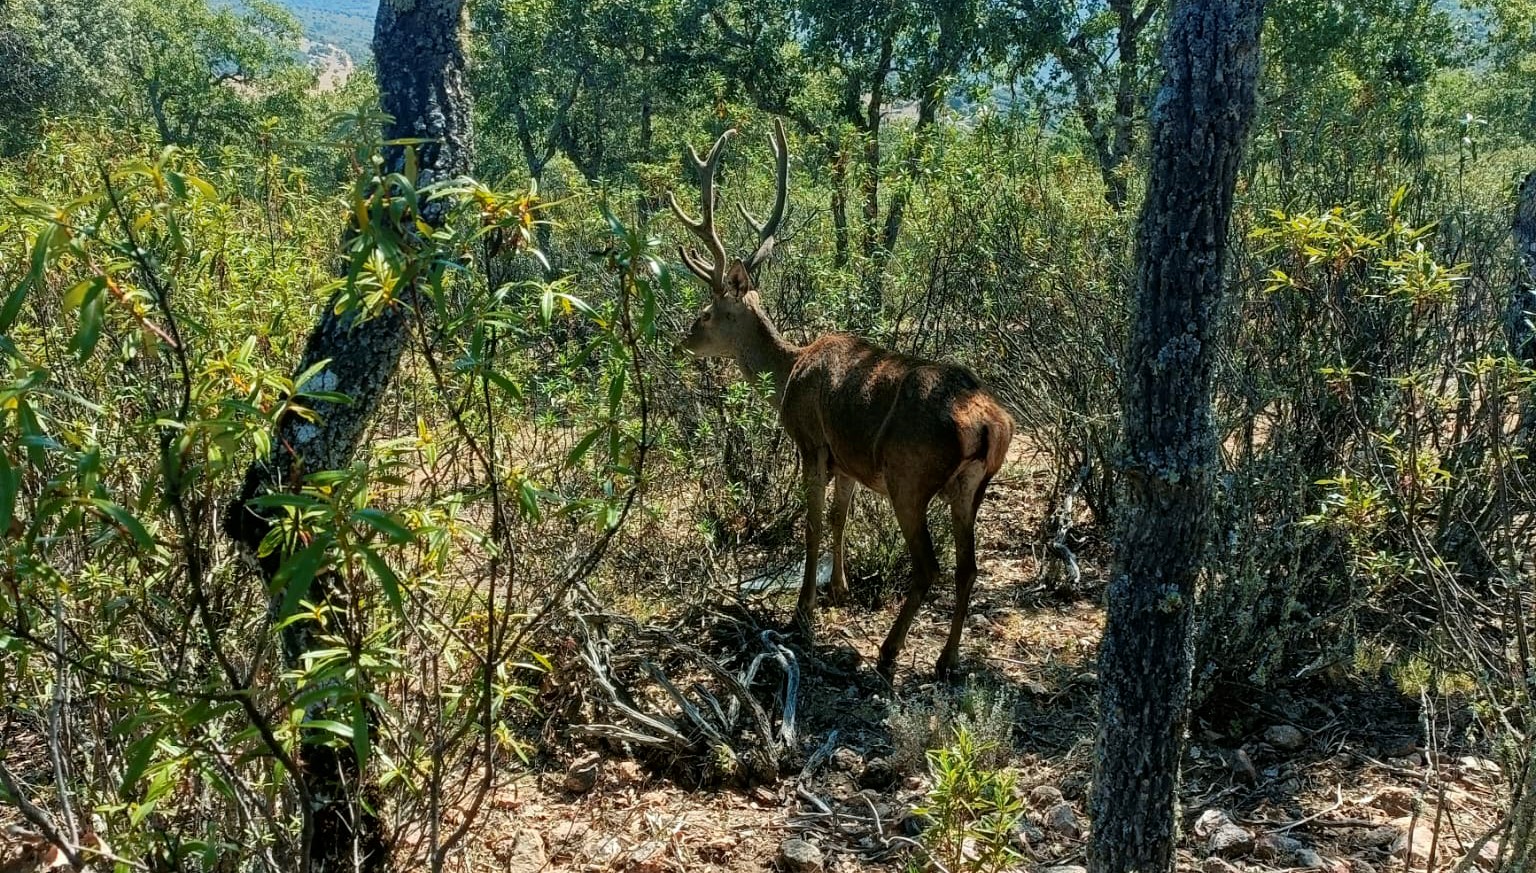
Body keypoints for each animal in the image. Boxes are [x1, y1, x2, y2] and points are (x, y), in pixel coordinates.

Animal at [669, 119, 1007, 679]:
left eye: (709, 312)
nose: (683, 340)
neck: (788, 372)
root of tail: (988, 425)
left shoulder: (810, 441)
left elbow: (810, 522)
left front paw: (803, 609)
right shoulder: (849, 460)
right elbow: (839, 517)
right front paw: (840, 590)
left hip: (909, 475)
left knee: (928, 565)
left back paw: (889, 654)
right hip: (972, 485)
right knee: (968, 565)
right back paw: (946, 659)